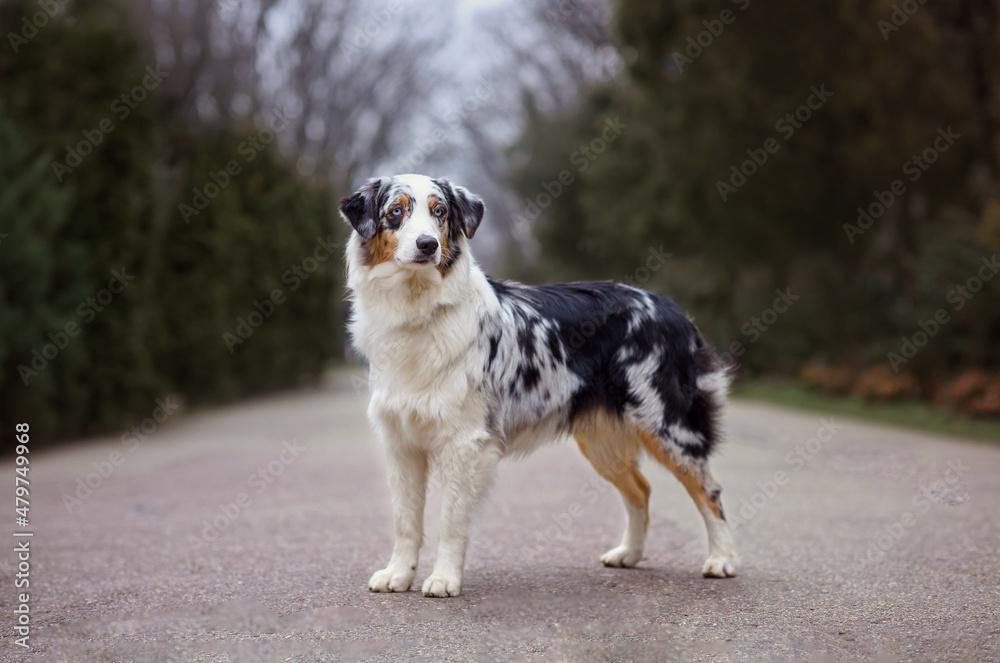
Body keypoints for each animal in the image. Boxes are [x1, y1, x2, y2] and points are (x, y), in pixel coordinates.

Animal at [340, 174, 740, 600]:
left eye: (440, 212)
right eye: (395, 211)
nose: (428, 244)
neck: (417, 308)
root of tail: (672, 307)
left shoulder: (466, 442)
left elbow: (450, 519)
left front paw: (445, 578)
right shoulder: (401, 442)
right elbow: (405, 519)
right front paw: (398, 574)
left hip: (666, 424)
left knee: (709, 491)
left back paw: (723, 560)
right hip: (602, 440)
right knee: (640, 489)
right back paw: (629, 554)